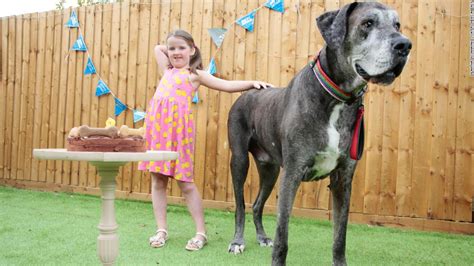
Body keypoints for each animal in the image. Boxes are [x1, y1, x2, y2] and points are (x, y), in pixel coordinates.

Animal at [227, 2, 412, 266]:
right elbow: (283, 237)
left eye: (397, 25)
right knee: (240, 205)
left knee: (256, 204)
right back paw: (237, 241)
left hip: (270, 169)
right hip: (240, 160)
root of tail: (247, 93)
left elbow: (340, 237)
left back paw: (262, 237)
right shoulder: (292, 174)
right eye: (367, 23)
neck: (338, 98)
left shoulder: (343, 179)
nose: (404, 45)